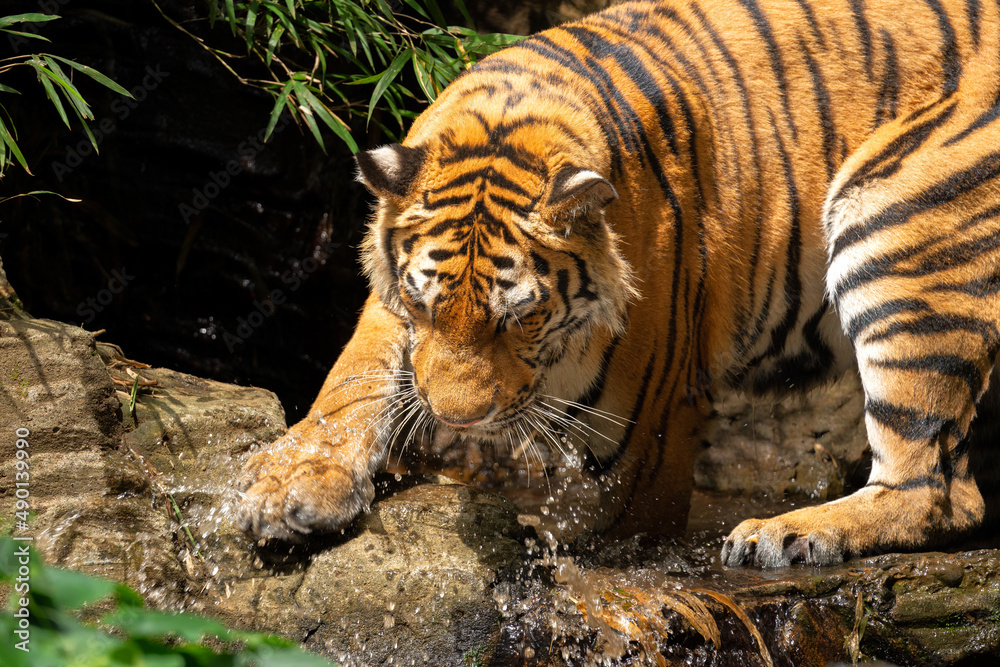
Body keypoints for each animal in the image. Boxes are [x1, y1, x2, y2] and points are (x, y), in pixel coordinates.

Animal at [236, 0, 1000, 568]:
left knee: (937, 487)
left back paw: (783, 534)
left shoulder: (646, 434)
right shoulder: (392, 305)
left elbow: (609, 529)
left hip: (898, 224)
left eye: (520, 317)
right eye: (426, 305)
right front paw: (290, 483)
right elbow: (352, 376)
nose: (458, 421)